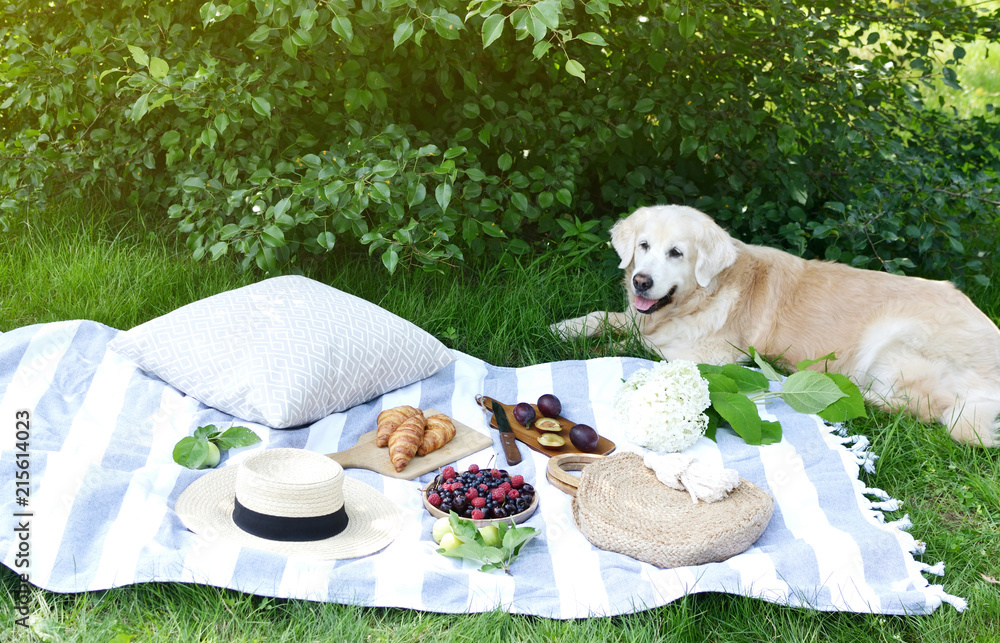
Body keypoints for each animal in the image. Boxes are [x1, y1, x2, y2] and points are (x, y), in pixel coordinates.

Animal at [552, 206, 1000, 448]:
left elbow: (638, 346)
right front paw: (564, 328)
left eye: (676, 253)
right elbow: (604, 318)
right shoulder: (640, 316)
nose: (640, 281)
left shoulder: (711, 354)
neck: (701, 296)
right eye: (643, 246)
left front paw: (594, 349)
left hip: (892, 341)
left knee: (920, 407)